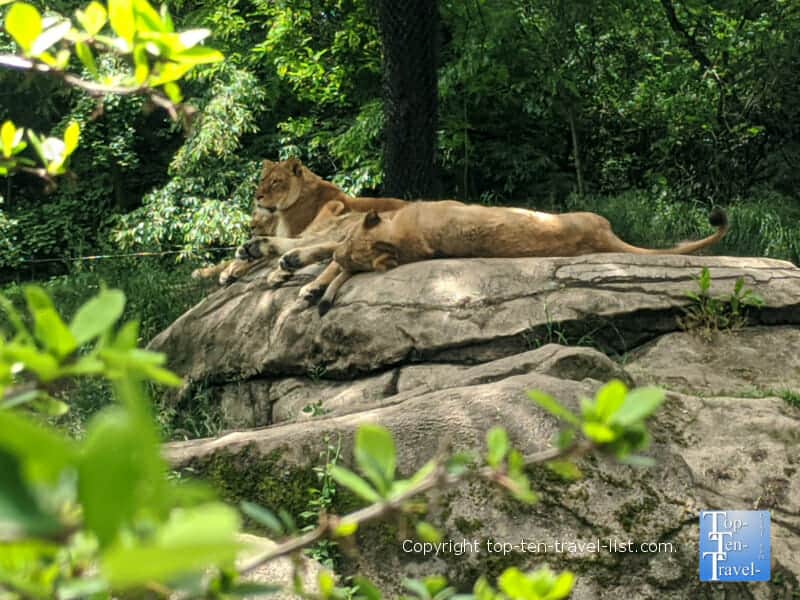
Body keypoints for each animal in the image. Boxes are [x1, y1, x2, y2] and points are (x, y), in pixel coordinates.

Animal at [192, 158, 407, 285]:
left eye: (276, 181)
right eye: (262, 180)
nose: (257, 196)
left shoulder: (298, 231)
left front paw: (234, 268)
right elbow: (228, 259)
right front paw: (207, 272)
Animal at [296, 200, 729, 314]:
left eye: (351, 244)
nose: (343, 252)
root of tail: (604, 234)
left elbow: (336, 266)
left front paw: (317, 288)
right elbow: (336, 266)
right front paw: (318, 288)